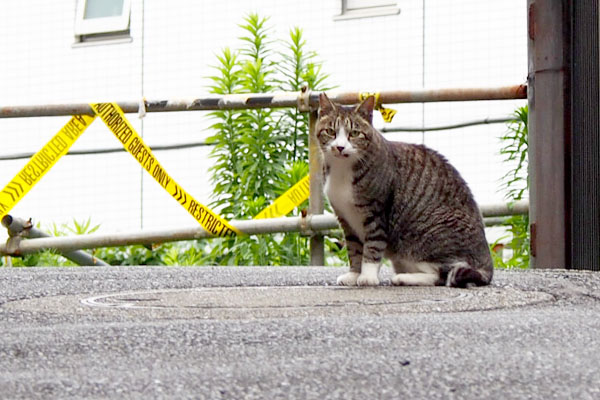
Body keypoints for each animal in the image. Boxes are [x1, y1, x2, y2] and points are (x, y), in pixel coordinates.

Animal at [314, 94, 492, 288]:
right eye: (330, 131)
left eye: (354, 133)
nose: (340, 147)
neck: (343, 169)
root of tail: (487, 264)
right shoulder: (345, 218)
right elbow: (354, 250)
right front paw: (354, 274)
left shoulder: (376, 213)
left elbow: (372, 247)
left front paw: (367, 276)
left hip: (424, 237)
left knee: (443, 274)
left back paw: (404, 278)